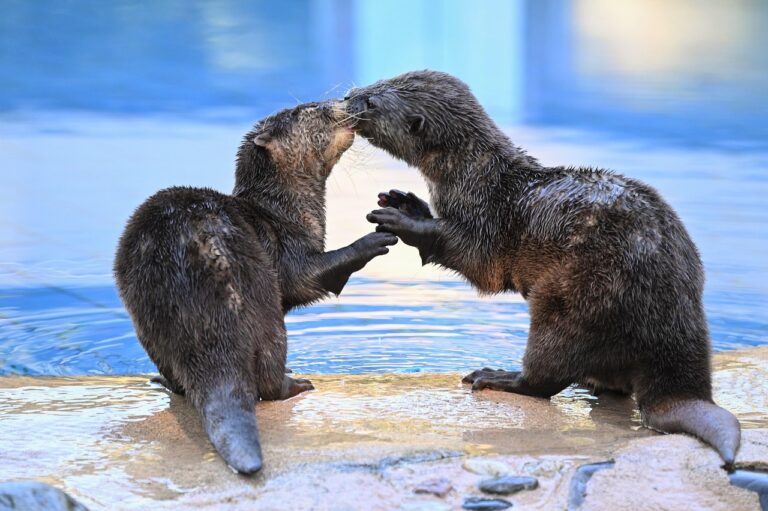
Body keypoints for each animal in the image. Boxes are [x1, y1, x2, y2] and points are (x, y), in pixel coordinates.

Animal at [115, 101, 402, 476]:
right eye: (311, 110)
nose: (342, 103)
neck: (284, 212)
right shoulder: (289, 250)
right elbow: (308, 279)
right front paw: (375, 238)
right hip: (265, 309)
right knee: (268, 377)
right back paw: (295, 382)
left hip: (149, 319)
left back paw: (165, 381)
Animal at [346, 69, 736, 468]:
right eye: (375, 83)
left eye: (372, 103)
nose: (347, 98)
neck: (476, 178)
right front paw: (404, 201)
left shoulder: (488, 221)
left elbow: (476, 261)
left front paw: (403, 219)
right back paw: (588, 382)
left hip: (571, 298)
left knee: (546, 377)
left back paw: (498, 376)